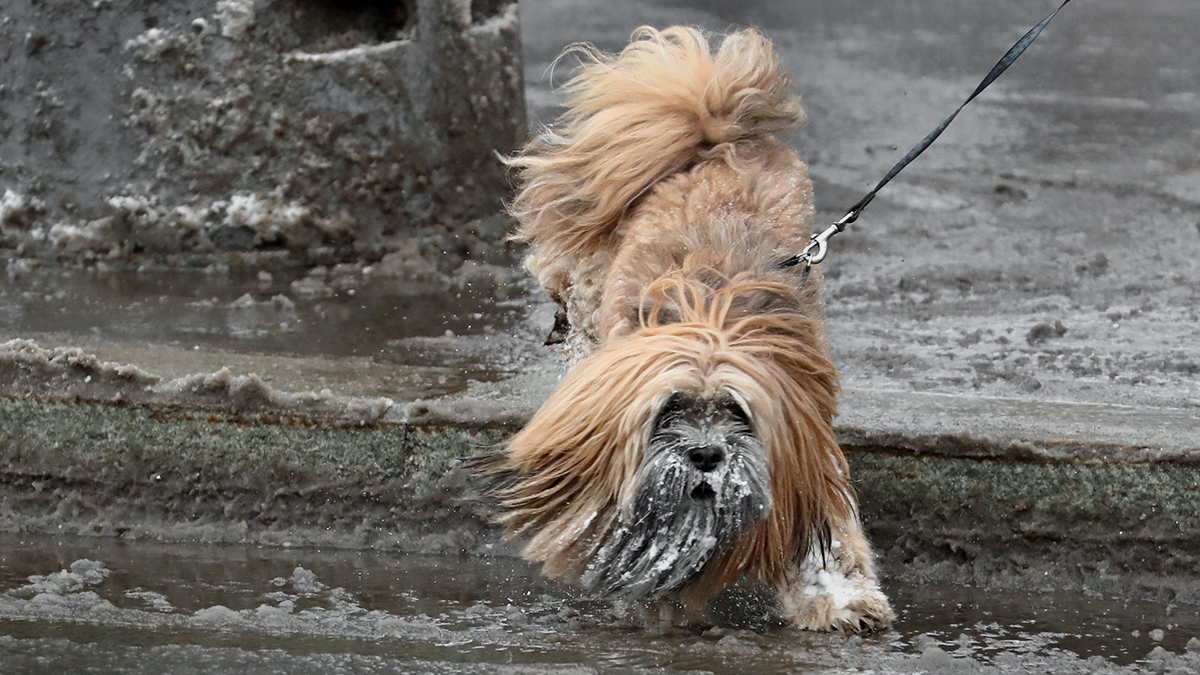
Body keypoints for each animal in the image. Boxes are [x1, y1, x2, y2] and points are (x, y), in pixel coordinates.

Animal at [484, 23, 892, 629]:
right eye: (670, 410)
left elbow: (824, 534)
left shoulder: (804, 445)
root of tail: (714, 136)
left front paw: (839, 597)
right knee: (570, 284)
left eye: (737, 412)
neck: (711, 311)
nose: (705, 455)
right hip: (593, 264)